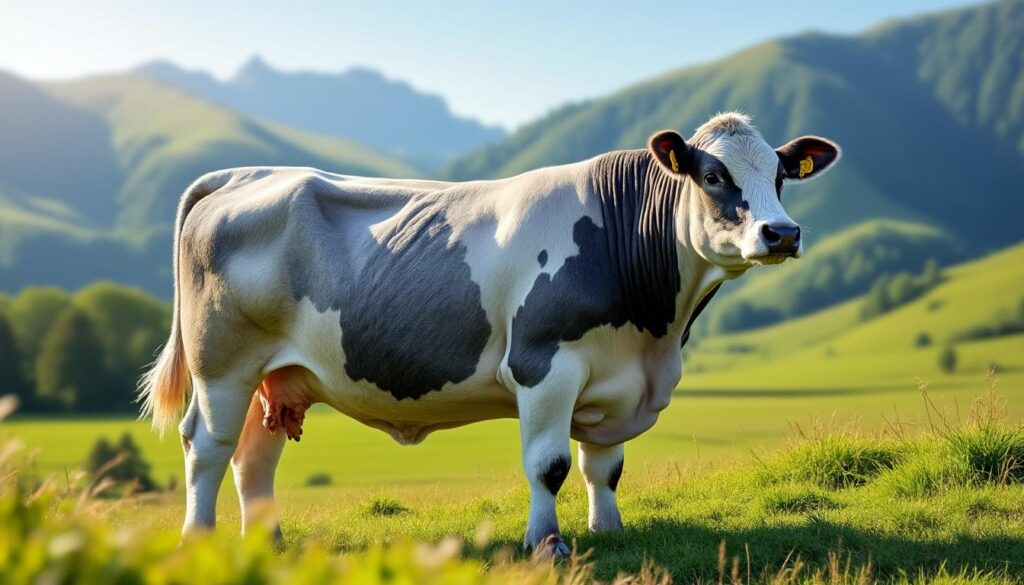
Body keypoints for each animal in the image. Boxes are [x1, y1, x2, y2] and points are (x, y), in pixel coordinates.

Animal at [139, 112, 840, 556]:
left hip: (278, 372)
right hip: (222, 362)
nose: (783, 233)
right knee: (207, 445)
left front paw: (609, 533)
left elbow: (605, 467)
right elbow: (549, 465)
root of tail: (244, 174)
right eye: (714, 176)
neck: (654, 335)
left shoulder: (616, 381)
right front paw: (546, 543)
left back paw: (270, 544)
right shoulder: (544, 364)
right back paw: (197, 541)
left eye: (781, 176)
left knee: (254, 456)